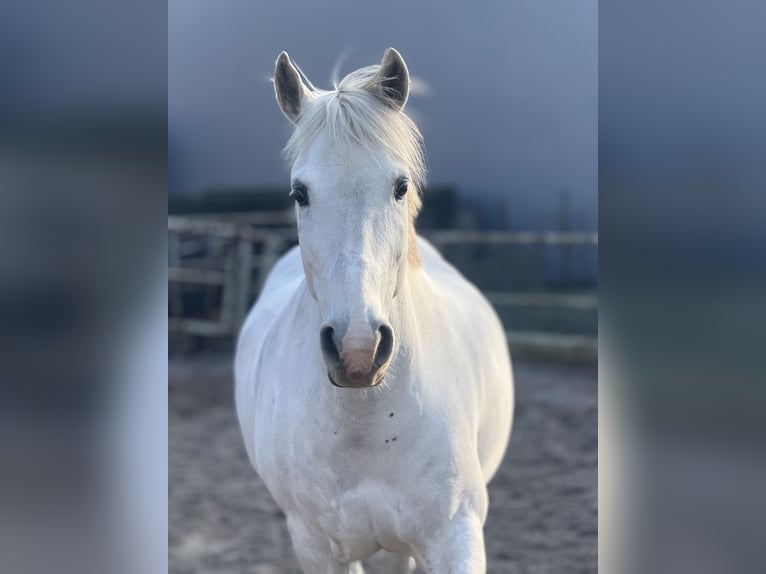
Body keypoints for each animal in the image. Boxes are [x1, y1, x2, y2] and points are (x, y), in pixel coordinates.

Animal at [235, 48, 514, 573]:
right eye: (299, 193)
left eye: (400, 186)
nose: (358, 349)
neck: (366, 426)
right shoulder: (315, 545)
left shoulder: (456, 533)